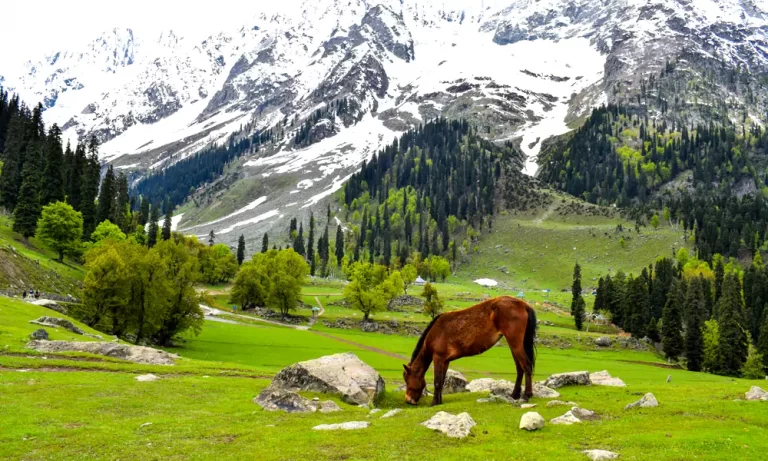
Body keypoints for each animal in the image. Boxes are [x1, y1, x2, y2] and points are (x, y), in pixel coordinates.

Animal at [404, 296, 536, 404]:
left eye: (407, 380)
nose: (408, 400)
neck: (435, 332)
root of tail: (524, 305)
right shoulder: (445, 361)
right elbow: (441, 381)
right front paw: (439, 401)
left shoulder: (438, 358)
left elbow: (437, 381)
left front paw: (434, 402)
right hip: (514, 344)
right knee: (520, 368)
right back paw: (514, 394)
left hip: (515, 343)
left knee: (526, 366)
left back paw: (526, 395)